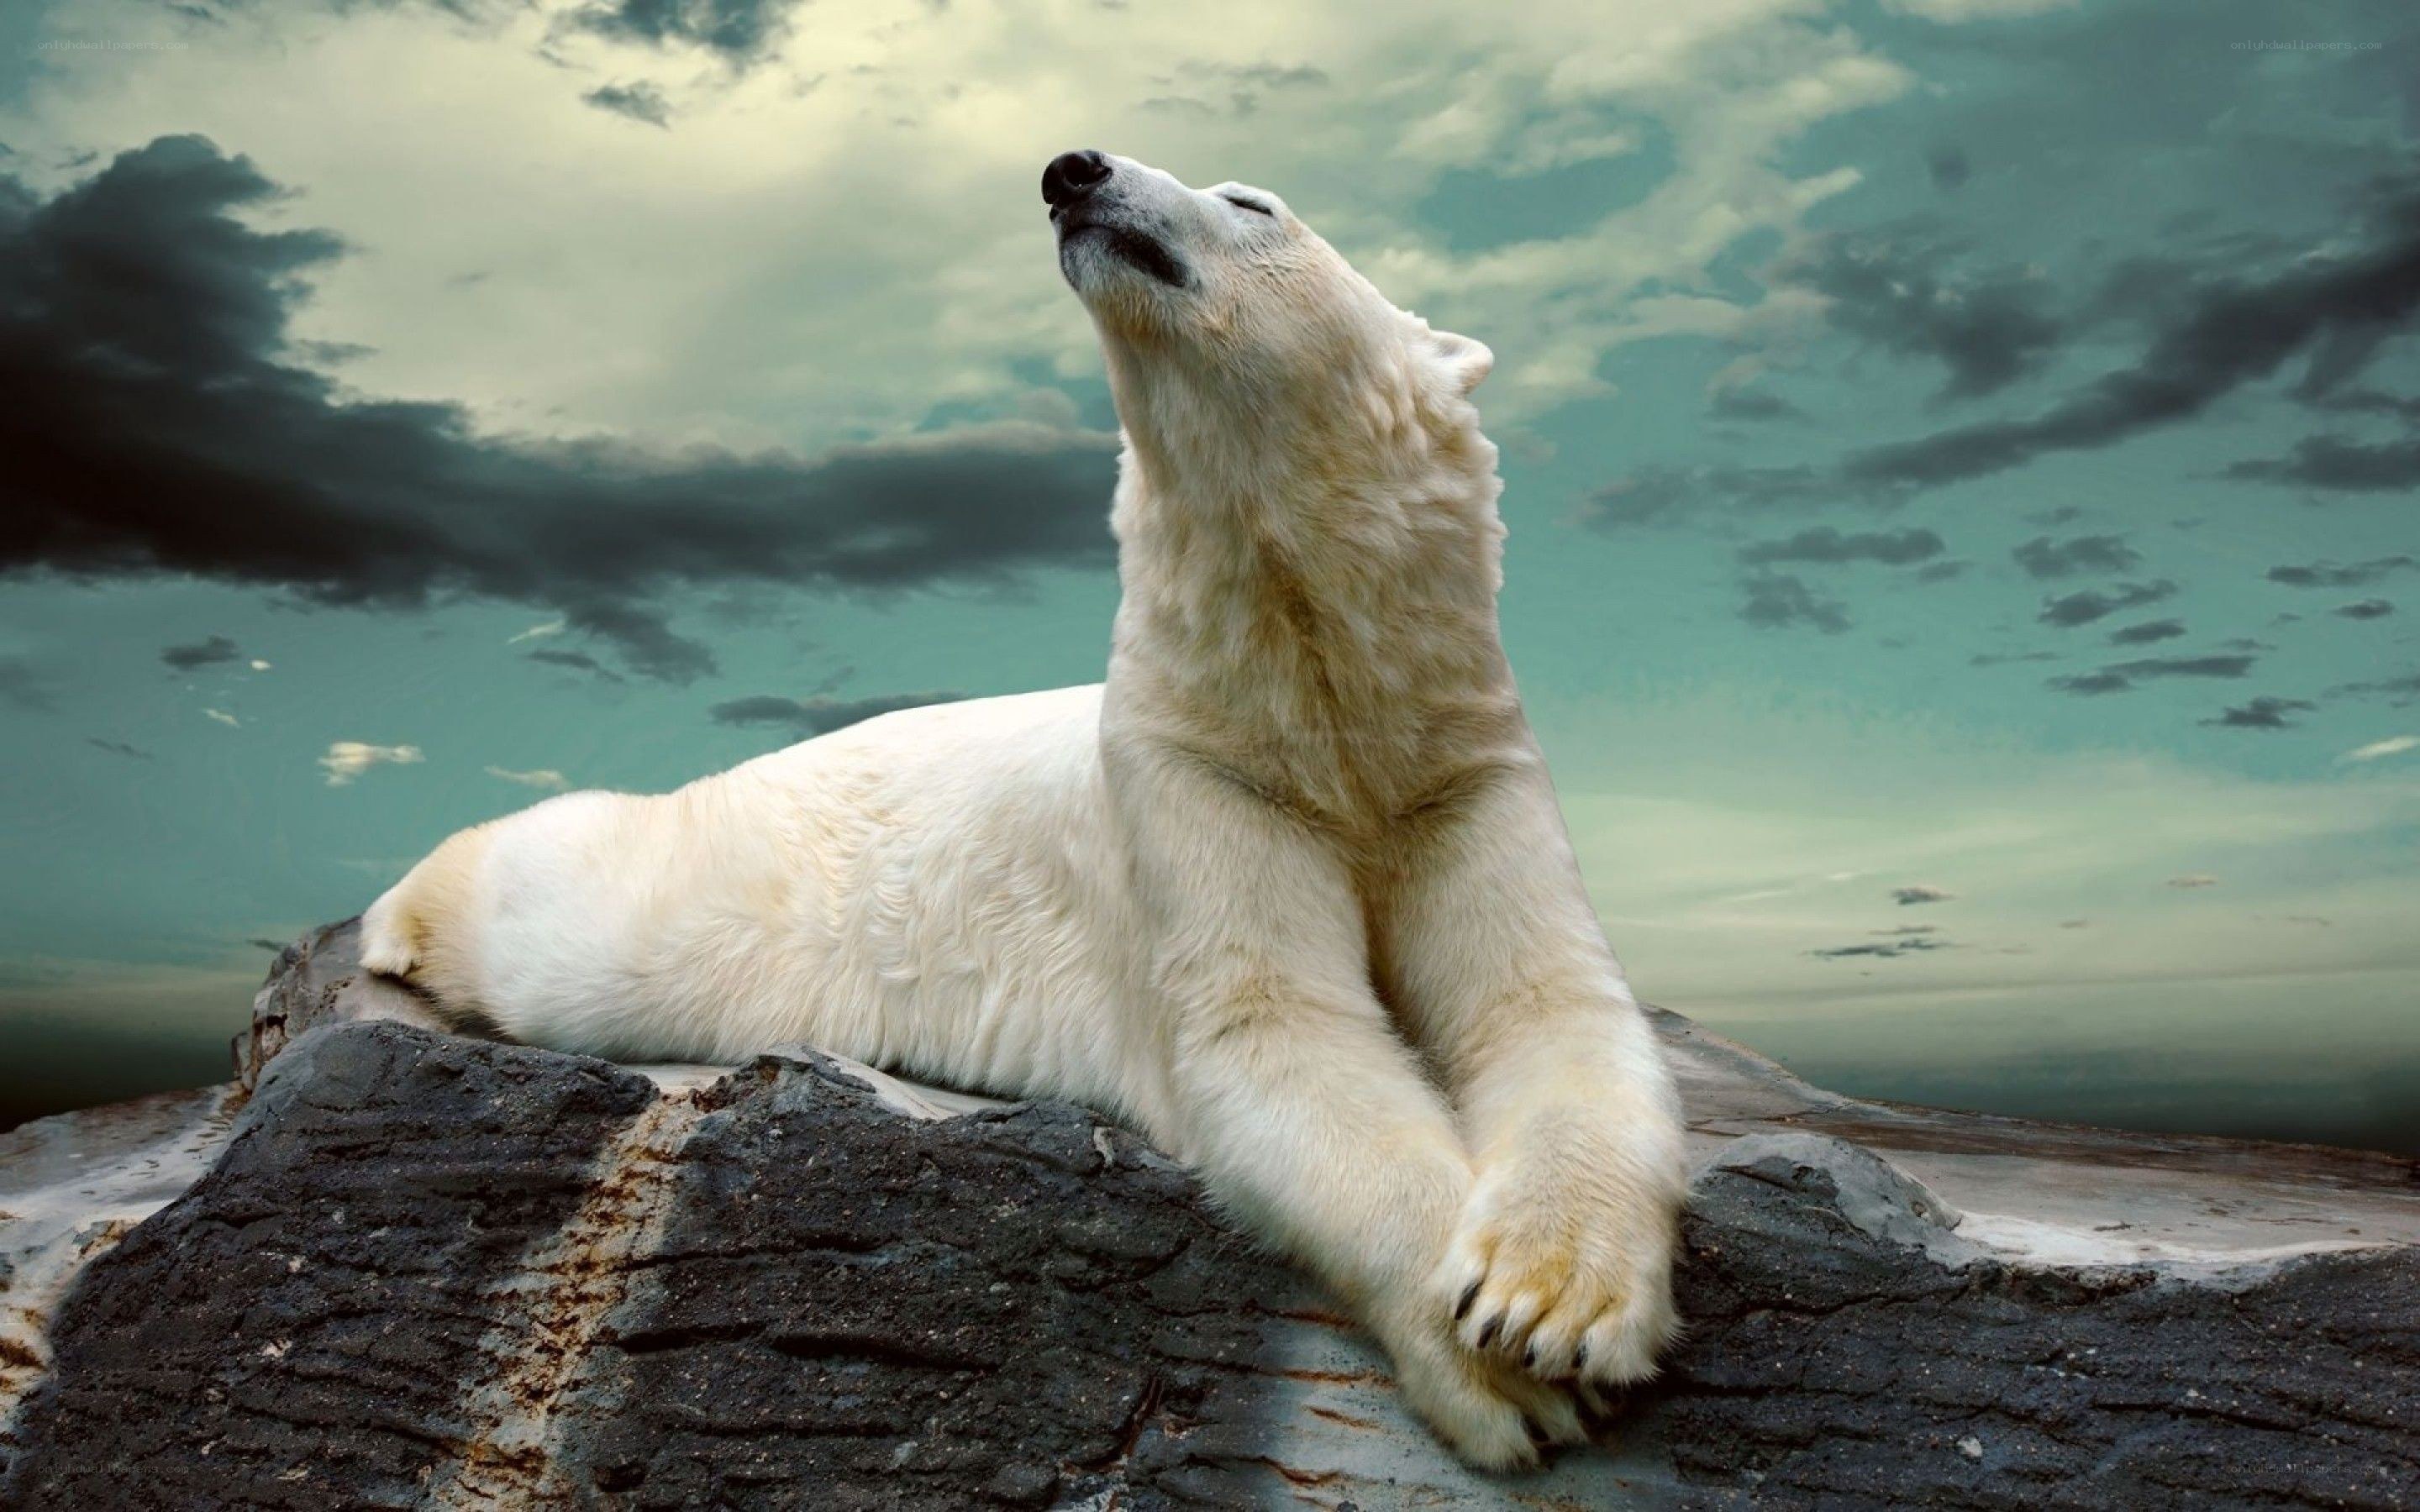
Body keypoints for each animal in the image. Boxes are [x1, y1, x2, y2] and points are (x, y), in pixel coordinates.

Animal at [361, 149, 1686, 1469]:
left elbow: (1547, 1003)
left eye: (1253, 203)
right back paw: (398, 921)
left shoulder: (1457, 766)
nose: (1072, 171)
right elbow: (1277, 1031)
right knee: (573, 927)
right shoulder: (1192, 775)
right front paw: (1502, 1372)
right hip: (733, 886)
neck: (1317, 698)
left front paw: (1548, 1301)